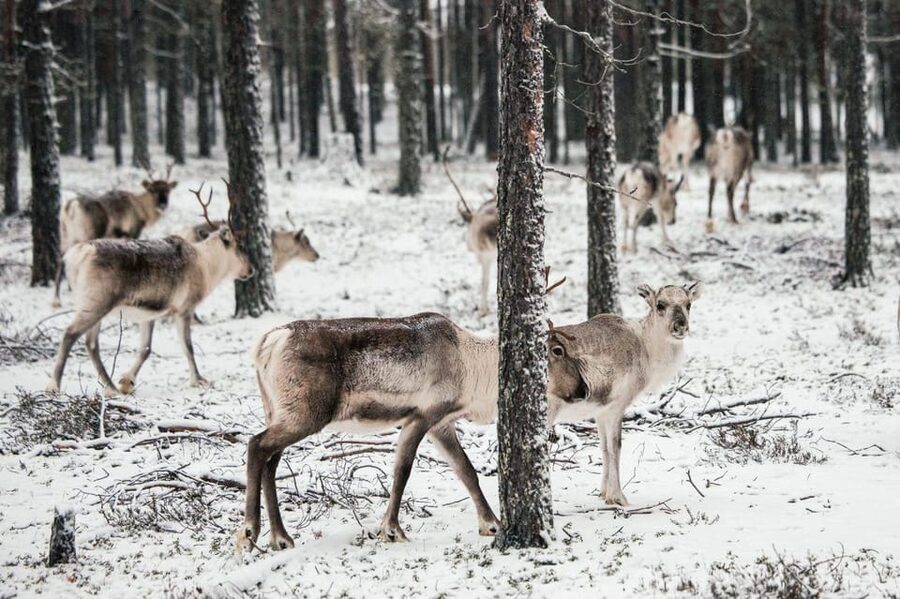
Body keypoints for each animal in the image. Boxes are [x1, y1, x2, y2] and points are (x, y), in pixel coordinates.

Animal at [45, 181, 253, 398]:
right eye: (240, 247)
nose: (251, 270)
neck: (206, 267)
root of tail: (75, 257)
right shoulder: (185, 308)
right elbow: (188, 347)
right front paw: (198, 380)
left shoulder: (149, 314)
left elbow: (146, 349)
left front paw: (126, 381)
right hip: (96, 302)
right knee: (70, 334)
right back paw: (54, 385)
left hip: (96, 305)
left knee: (91, 343)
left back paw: (111, 387)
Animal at [52, 164, 178, 308]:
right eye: (152, 190)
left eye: (168, 190)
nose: (163, 204)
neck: (141, 210)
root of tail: (71, 207)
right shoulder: (132, 231)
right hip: (88, 234)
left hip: (65, 235)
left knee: (60, 259)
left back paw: (56, 300)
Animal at [234, 281, 701, 552]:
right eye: (556, 350)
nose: (583, 390)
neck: (475, 374)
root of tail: (266, 343)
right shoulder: (423, 415)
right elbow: (403, 470)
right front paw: (392, 529)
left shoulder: (442, 422)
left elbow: (467, 472)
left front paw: (491, 524)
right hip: (306, 412)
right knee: (256, 446)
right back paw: (253, 532)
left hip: (284, 409)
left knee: (270, 457)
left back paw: (281, 536)